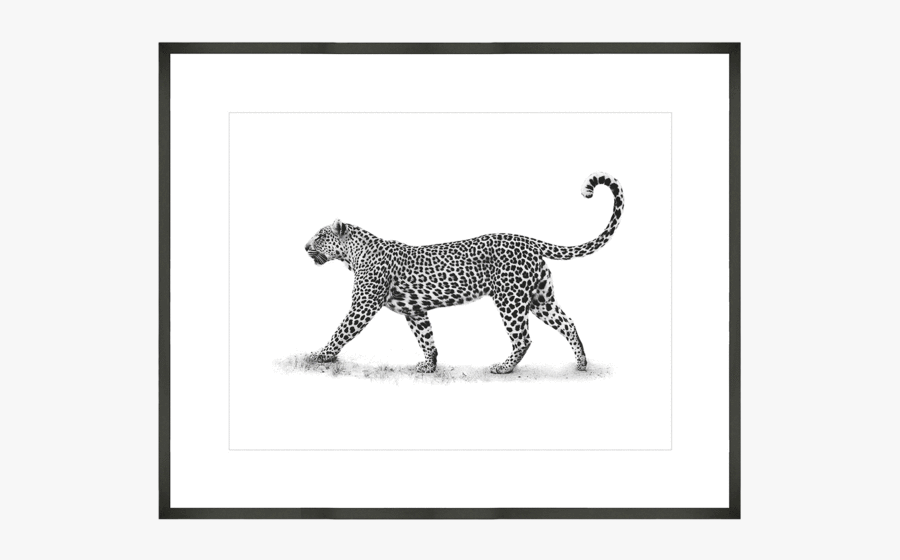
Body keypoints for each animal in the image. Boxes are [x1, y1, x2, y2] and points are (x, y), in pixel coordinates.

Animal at [304, 172, 624, 374]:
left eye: (320, 236)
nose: (305, 246)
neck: (354, 254)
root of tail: (528, 240)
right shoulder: (415, 311)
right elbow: (426, 338)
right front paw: (429, 365)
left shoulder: (364, 305)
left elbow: (341, 331)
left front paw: (320, 354)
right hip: (539, 298)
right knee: (567, 322)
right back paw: (581, 363)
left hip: (510, 300)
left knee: (523, 338)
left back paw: (503, 367)